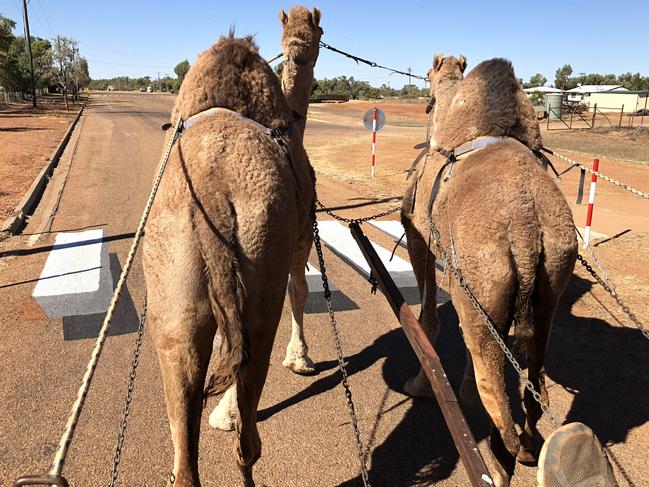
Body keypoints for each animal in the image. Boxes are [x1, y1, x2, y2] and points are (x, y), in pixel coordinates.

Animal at [141, 34, 314, 487]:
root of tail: (213, 194)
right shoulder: (301, 239)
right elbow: (301, 291)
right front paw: (301, 360)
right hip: (262, 259)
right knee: (248, 439)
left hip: (172, 289)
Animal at [400, 53, 576, 487]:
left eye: (425, 76)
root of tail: (527, 228)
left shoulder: (417, 235)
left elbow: (427, 318)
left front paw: (420, 385)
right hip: (549, 280)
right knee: (535, 384)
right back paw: (531, 448)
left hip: (483, 280)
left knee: (498, 405)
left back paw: (501, 463)